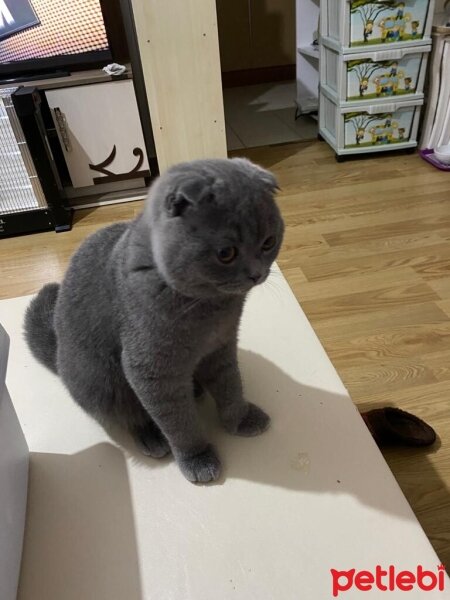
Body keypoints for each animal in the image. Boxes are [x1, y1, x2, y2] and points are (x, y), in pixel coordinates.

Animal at [24, 158, 284, 482]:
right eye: (226, 253)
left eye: (269, 242)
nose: (257, 274)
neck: (210, 309)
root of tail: (59, 356)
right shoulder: (151, 369)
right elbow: (179, 421)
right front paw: (197, 458)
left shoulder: (222, 345)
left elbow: (230, 385)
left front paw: (242, 418)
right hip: (102, 381)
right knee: (129, 414)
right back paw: (152, 437)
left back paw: (196, 390)